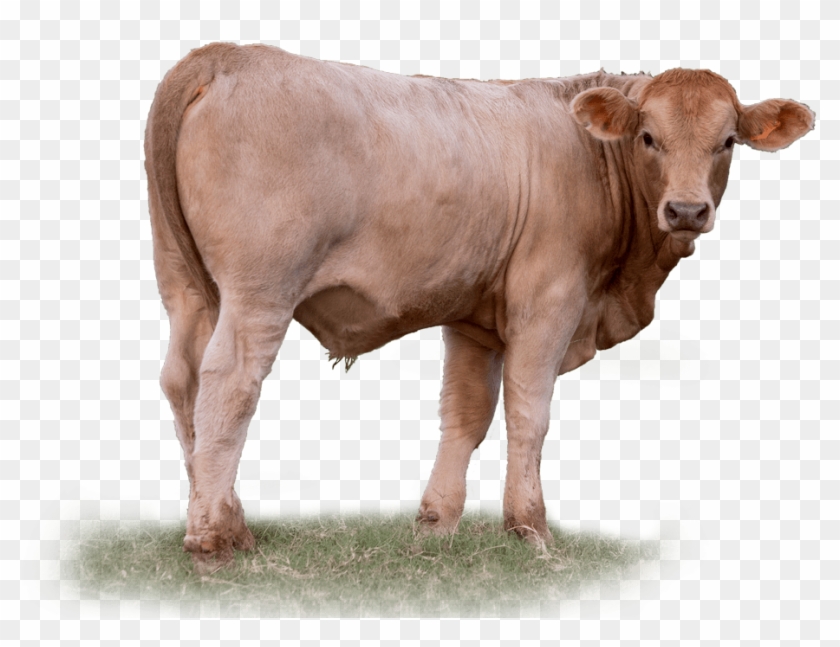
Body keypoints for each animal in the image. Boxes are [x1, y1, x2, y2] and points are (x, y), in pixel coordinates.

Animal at [145, 42, 814, 567]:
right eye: (649, 137)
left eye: (727, 142)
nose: (686, 210)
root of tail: (229, 55)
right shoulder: (549, 301)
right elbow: (528, 413)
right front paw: (531, 530)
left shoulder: (473, 318)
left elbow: (466, 416)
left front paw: (435, 526)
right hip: (260, 288)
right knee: (229, 382)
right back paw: (213, 540)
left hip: (185, 286)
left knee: (182, 382)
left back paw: (225, 518)